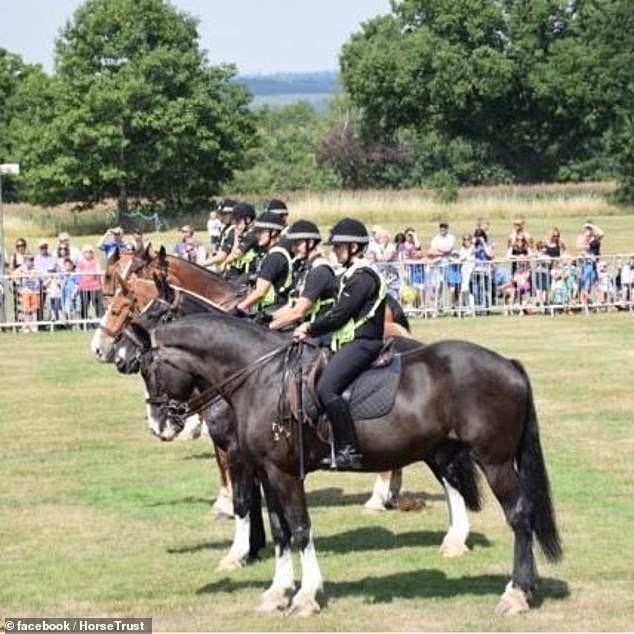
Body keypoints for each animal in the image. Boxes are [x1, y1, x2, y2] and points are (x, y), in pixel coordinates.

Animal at [122, 308, 556, 616]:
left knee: (520, 515)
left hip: (495, 461)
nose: (159, 425)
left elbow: (299, 529)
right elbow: (280, 531)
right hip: (446, 450)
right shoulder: (266, 470)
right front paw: (277, 592)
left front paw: (306, 596)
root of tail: (508, 364)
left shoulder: (283, 473)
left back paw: (516, 592)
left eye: (148, 368)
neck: (261, 377)